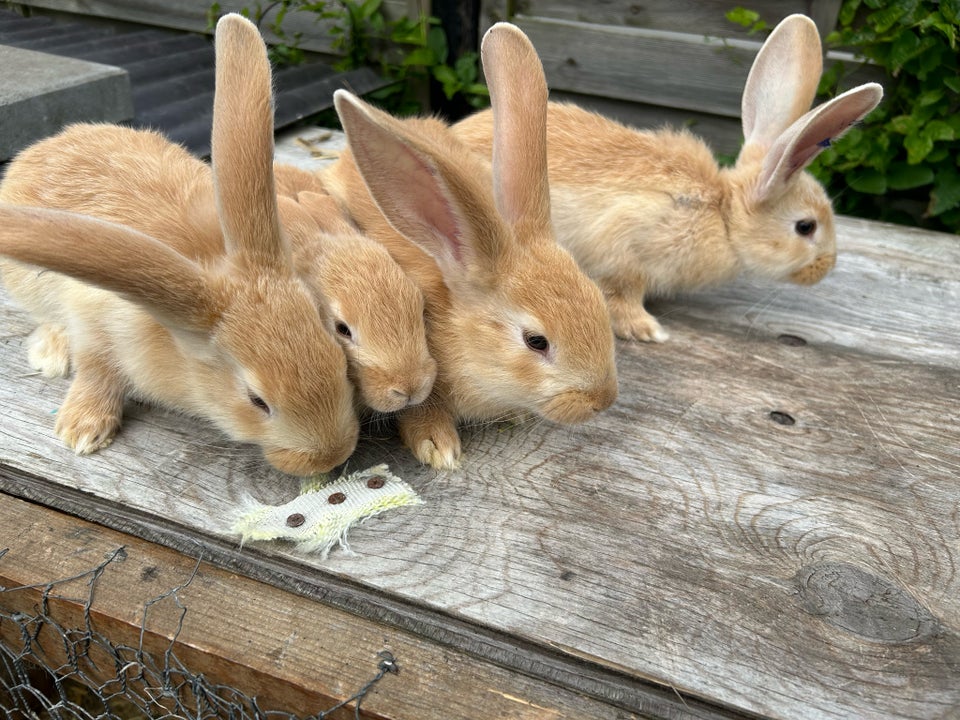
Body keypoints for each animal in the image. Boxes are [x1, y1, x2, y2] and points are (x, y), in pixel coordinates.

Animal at [0, 14, 360, 476]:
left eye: (336, 352)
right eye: (257, 400)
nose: (332, 455)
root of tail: (51, 141)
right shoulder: (94, 324)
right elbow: (95, 370)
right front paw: (81, 432)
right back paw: (51, 354)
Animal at [456, 15, 884, 342]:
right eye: (805, 227)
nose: (827, 267)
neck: (723, 216)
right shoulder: (626, 248)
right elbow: (623, 292)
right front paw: (648, 331)